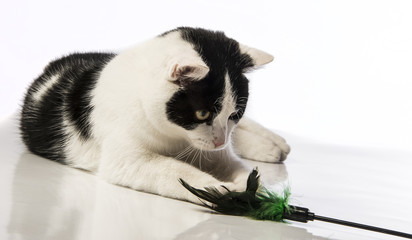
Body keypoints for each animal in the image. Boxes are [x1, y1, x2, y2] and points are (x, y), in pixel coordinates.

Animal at [20, 27, 290, 204]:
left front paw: (250, 187)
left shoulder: (219, 152)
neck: (176, 137)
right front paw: (217, 189)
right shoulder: (127, 160)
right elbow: (174, 171)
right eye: (202, 113)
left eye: (235, 114)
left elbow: (240, 167)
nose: (219, 141)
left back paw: (274, 144)